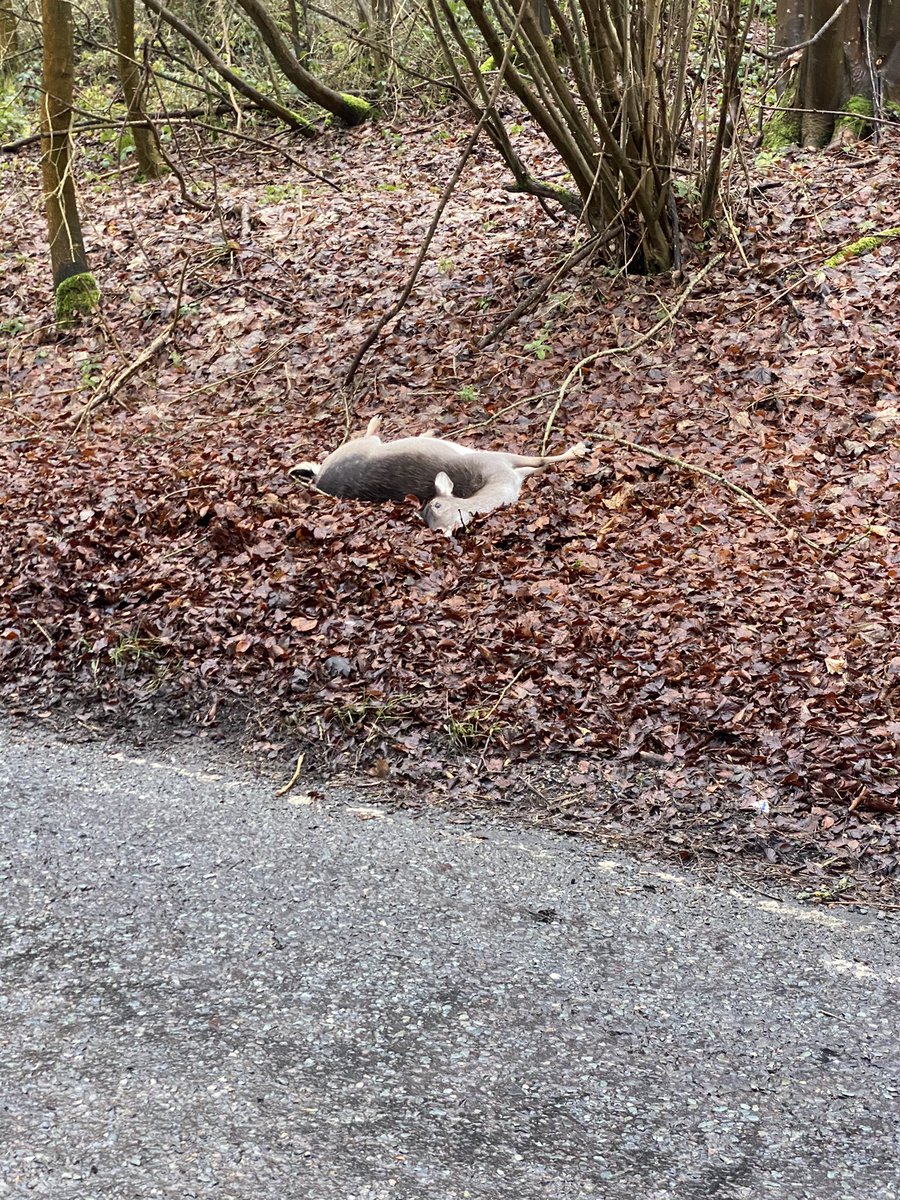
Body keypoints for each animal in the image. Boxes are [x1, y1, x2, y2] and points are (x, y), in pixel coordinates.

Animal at [290, 416, 588, 535]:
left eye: (435, 504)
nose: (445, 531)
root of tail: (320, 480)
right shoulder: (497, 460)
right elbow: (541, 459)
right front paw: (579, 448)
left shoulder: (501, 461)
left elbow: (540, 462)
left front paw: (578, 449)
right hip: (358, 448)